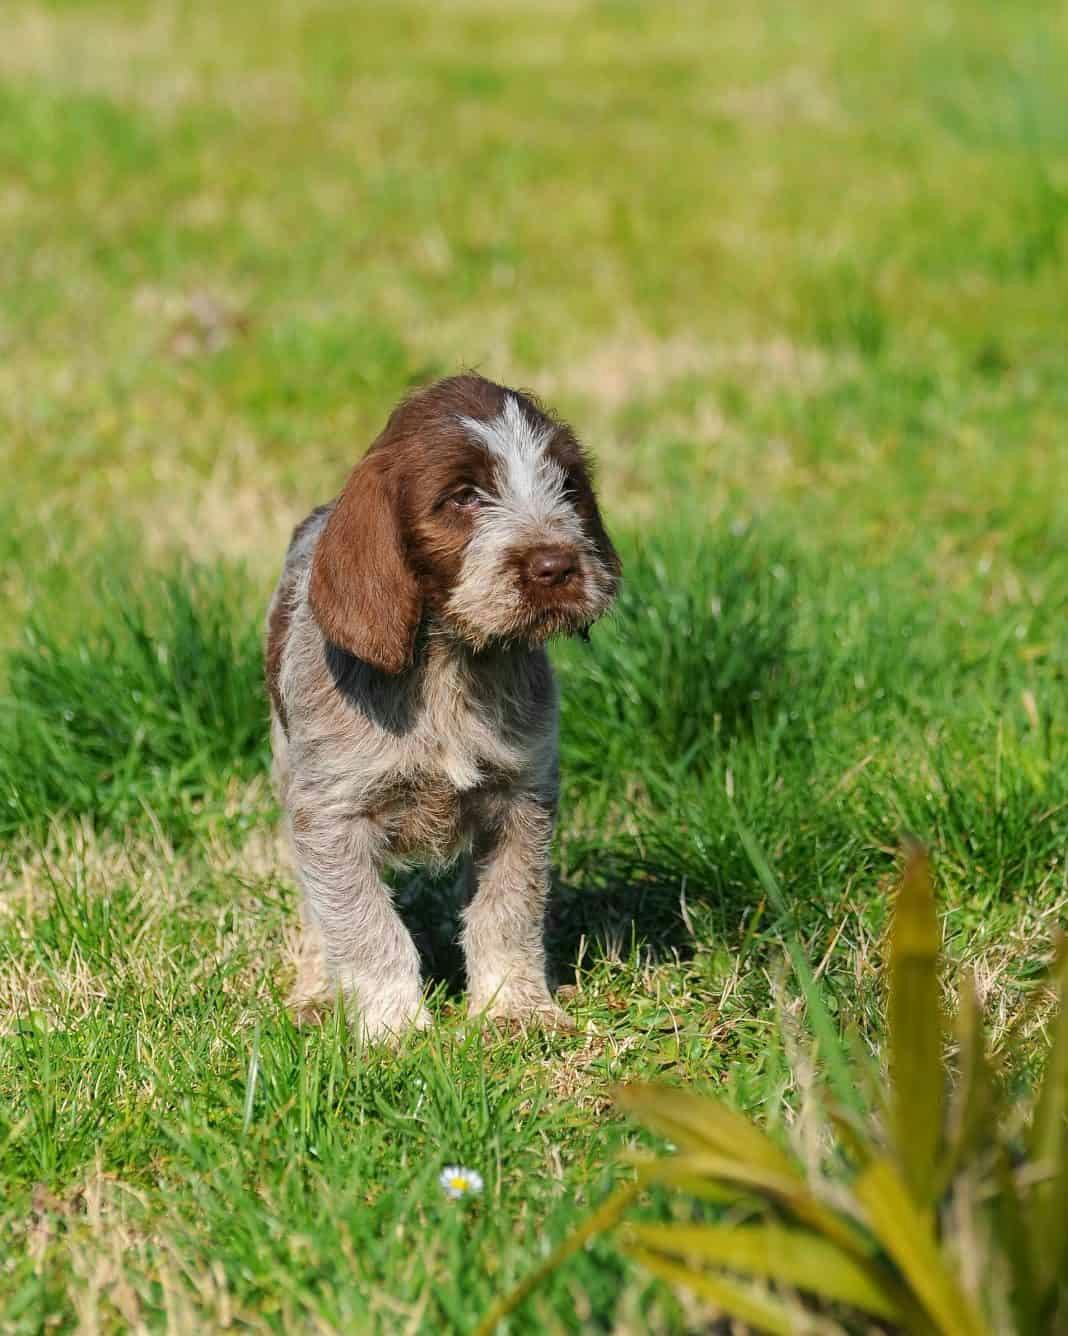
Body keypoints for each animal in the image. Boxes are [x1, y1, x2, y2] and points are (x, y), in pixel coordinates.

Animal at [264, 376, 617, 1042]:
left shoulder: (521, 801)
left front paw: (514, 1008)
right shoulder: (330, 815)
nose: (557, 565)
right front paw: (393, 1027)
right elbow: (365, 927)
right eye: (463, 497)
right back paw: (316, 990)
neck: (450, 661)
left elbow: (507, 910)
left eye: (566, 485)